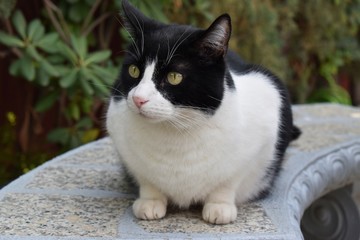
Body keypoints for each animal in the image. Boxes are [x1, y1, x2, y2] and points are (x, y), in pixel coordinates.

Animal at [105, 0, 300, 225]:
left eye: (174, 76)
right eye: (134, 71)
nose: (138, 98)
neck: (175, 132)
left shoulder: (268, 104)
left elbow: (228, 180)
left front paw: (219, 206)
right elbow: (146, 179)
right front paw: (150, 201)